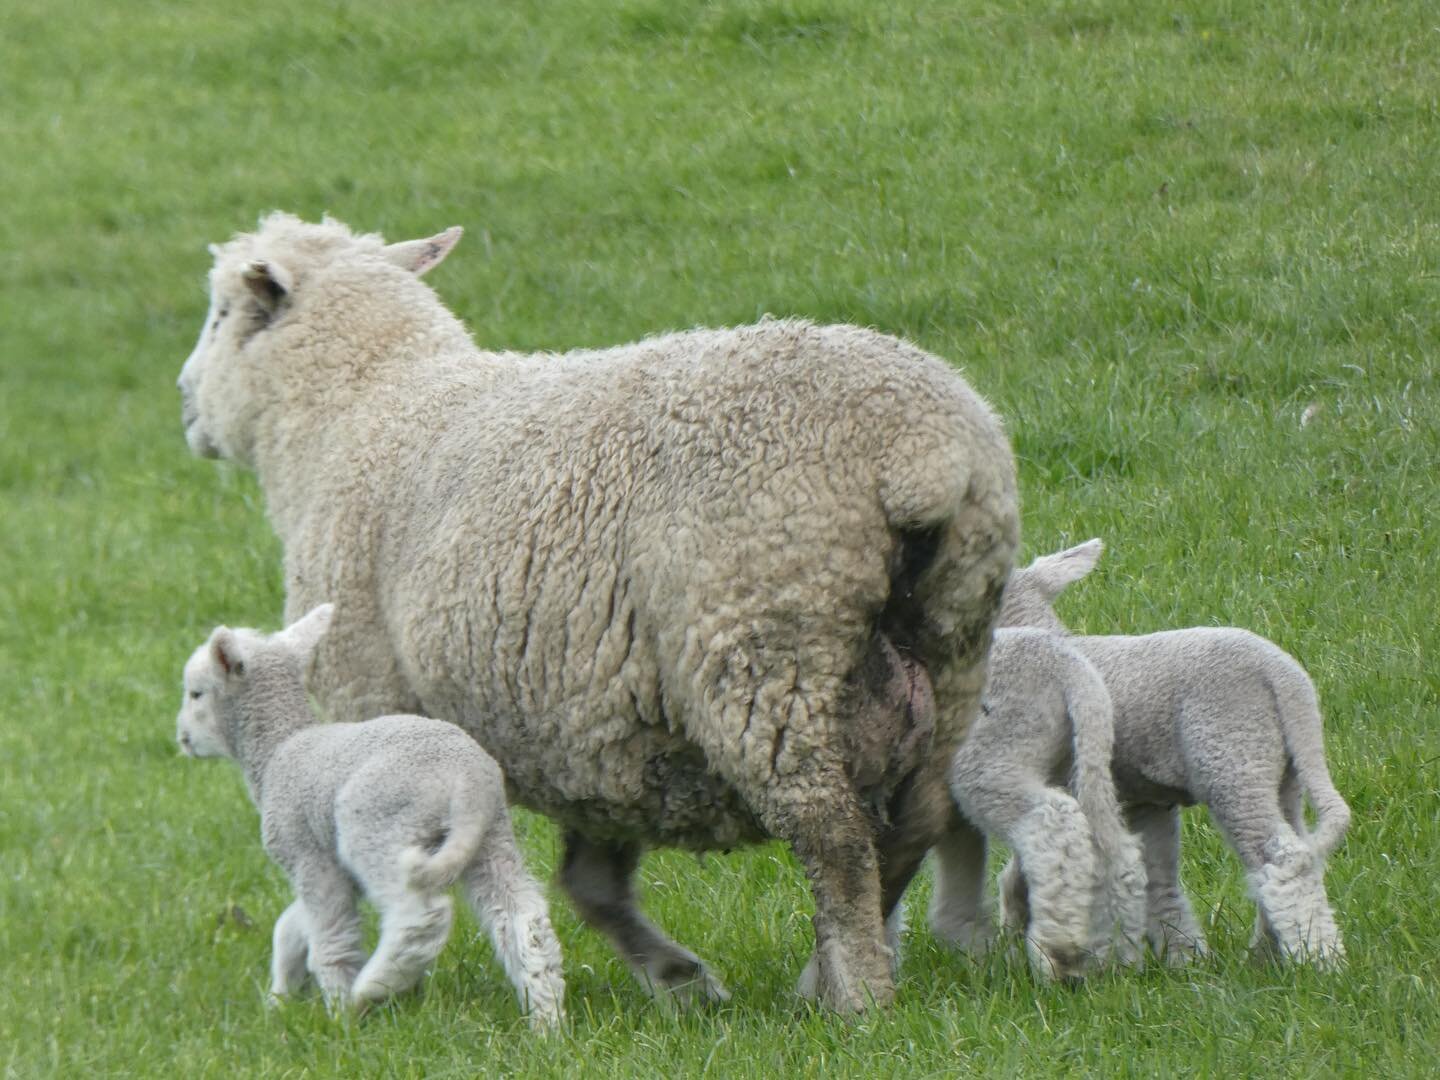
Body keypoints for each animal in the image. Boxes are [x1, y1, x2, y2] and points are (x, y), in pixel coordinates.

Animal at [175, 604, 567, 1025]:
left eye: (196, 693)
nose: (182, 738)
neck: (279, 748)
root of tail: (468, 778)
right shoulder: (331, 869)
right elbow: (290, 928)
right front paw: (281, 997)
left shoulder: (310, 859)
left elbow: (330, 940)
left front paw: (339, 1018)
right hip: (489, 839)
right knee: (523, 919)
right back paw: (547, 1018)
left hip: (377, 828)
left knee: (419, 917)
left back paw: (372, 988)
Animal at [933, 624, 1146, 979]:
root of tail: (1069, 667)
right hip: (1073, 760)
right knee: (1113, 851)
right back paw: (1119, 953)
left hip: (993, 756)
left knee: (1054, 824)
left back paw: (1056, 954)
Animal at [990, 541, 1347, 973]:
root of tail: (1285, 679)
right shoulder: (1144, 801)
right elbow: (1156, 877)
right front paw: (1182, 956)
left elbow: (1028, 867)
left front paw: (1018, 935)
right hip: (1284, 773)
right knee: (1289, 857)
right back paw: (1267, 954)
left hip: (1233, 759)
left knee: (1283, 859)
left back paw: (1319, 960)